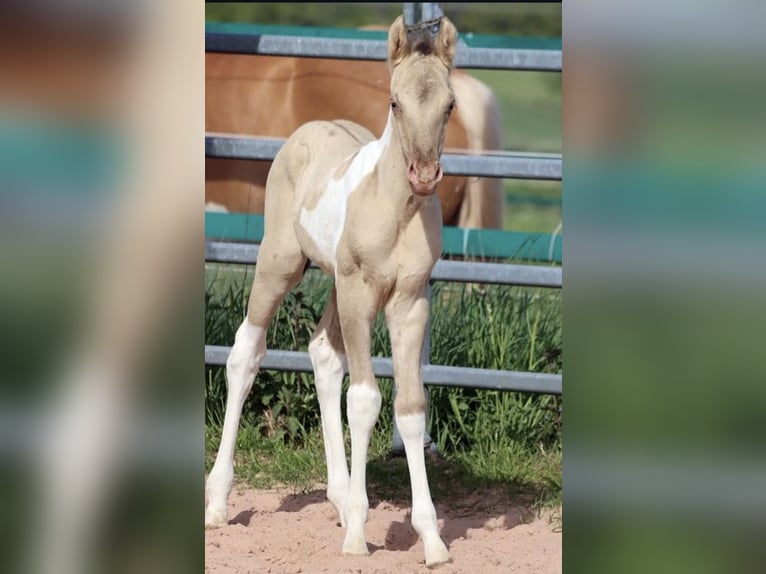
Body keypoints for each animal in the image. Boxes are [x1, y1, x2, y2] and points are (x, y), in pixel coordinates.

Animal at [204, 15, 459, 567]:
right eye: (394, 102)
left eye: (449, 104)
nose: (424, 175)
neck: (397, 207)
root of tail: (307, 129)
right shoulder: (362, 295)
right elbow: (364, 400)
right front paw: (359, 537)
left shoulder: (409, 304)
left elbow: (410, 409)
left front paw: (431, 541)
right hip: (280, 265)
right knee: (245, 352)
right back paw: (217, 501)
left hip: (337, 289)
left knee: (323, 353)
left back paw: (340, 499)